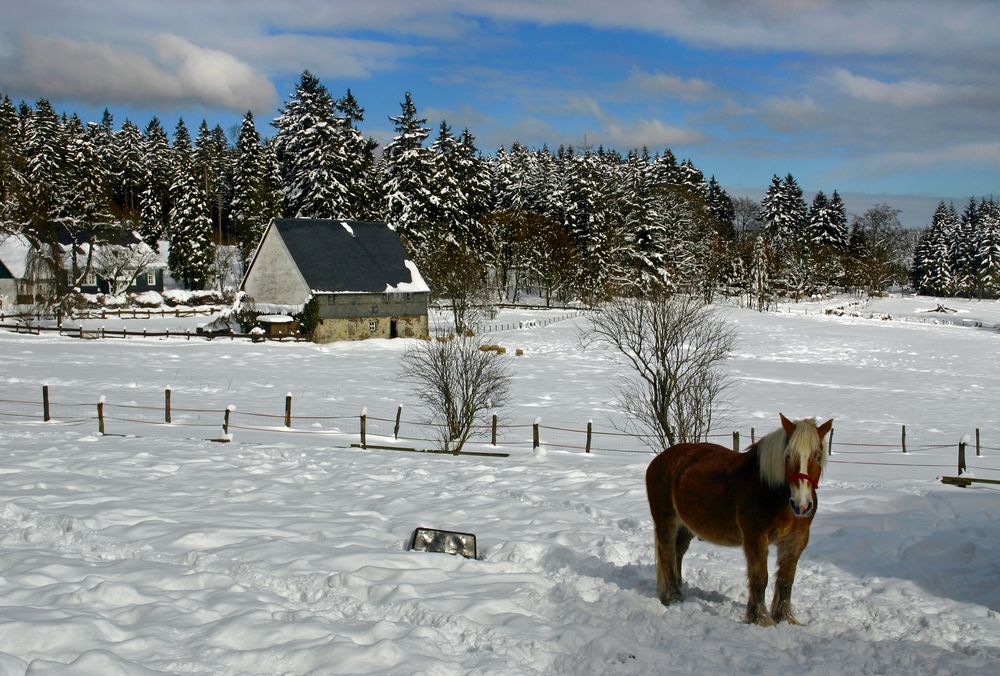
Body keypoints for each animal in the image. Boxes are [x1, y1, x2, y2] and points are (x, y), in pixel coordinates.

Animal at [644, 414, 832, 624]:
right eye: (788, 456)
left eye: (817, 456)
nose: (802, 505)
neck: (770, 492)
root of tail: (660, 459)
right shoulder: (755, 539)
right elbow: (760, 578)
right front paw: (760, 619)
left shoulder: (795, 541)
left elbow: (786, 580)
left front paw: (785, 618)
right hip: (666, 520)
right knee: (667, 554)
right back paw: (673, 597)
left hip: (687, 526)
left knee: (678, 551)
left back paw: (679, 588)